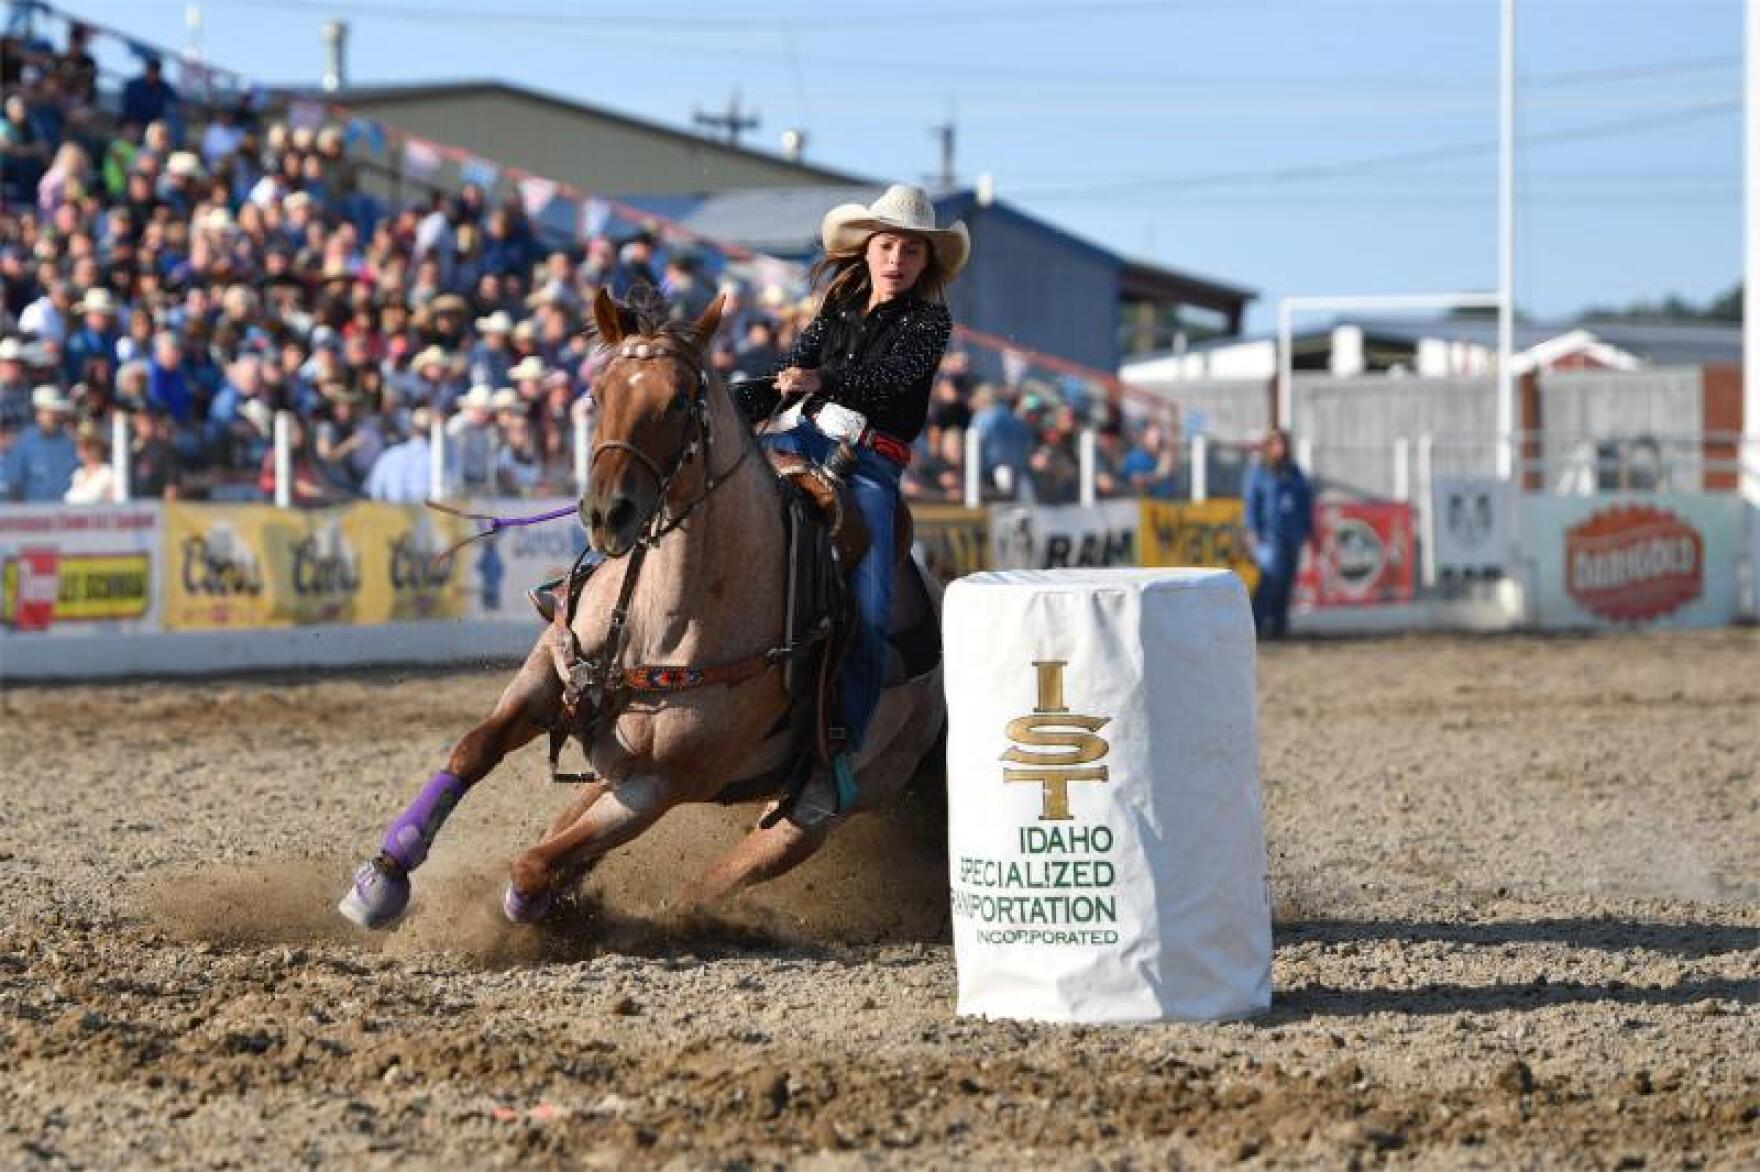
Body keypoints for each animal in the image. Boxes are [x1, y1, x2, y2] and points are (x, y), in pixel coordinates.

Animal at [341, 286, 950, 929]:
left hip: (814, 809)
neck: (666, 619)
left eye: (680, 400)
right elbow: (473, 751)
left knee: (717, 877)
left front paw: (536, 906)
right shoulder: (548, 678)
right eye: (597, 394)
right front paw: (380, 881)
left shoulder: (658, 785)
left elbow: (533, 866)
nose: (608, 513)